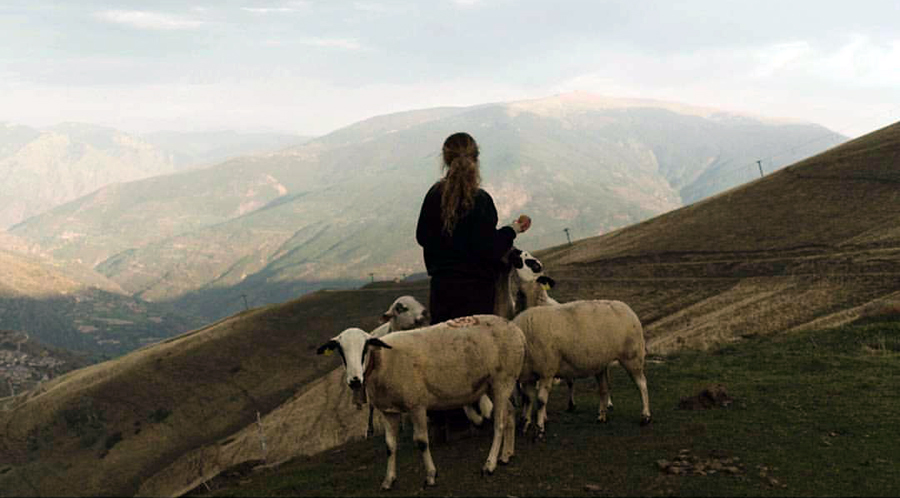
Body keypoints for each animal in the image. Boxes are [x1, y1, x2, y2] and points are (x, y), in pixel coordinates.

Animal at [318, 316, 524, 490]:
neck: (382, 360)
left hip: (502, 379)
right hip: (495, 385)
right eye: (340, 350)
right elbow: (390, 446)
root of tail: (516, 329)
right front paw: (388, 480)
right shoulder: (388, 411)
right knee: (510, 413)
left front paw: (431, 476)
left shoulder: (416, 404)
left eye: (365, 347)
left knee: (499, 424)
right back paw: (506, 454)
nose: (354, 380)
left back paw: (490, 464)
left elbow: (422, 442)